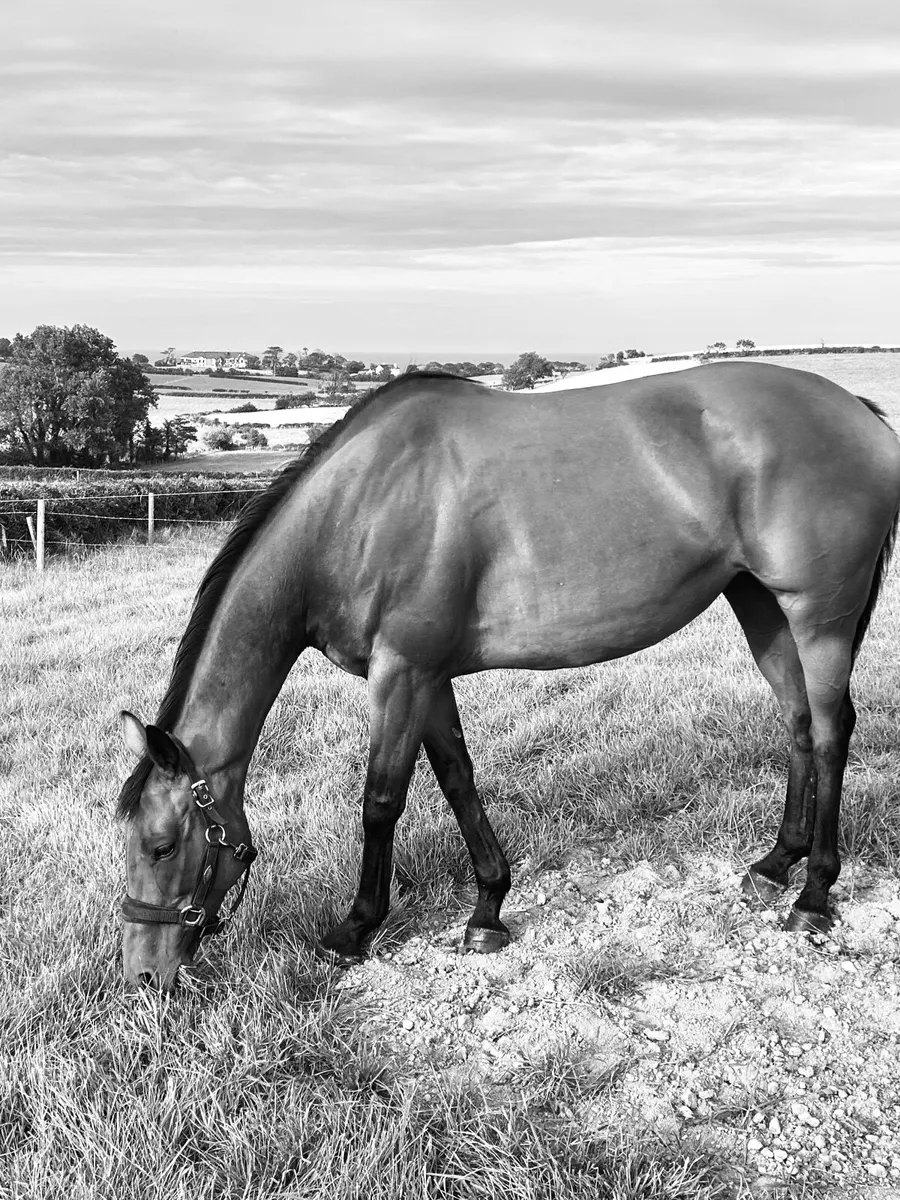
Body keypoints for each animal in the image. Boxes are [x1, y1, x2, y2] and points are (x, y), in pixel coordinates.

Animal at [116, 362, 900, 990]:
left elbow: (381, 802)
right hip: (761, 606)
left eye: (161, 845)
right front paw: (489, 908)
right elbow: (458, 780)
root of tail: (861, 414)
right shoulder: (426, 677)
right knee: (798, 724)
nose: (143, 976)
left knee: (831, 731)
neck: (359, 509)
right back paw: (775, 865)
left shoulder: (400, 674)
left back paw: (813, 897)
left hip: (819, 619)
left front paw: (355, 928)